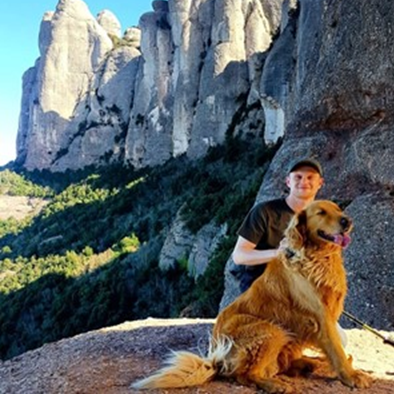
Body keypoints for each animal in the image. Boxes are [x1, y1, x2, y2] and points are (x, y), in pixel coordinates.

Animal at [132, 202, 372, 392]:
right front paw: (351, 376)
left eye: (338, 209)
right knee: (245, 375)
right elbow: (336, 350)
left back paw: (309, 363)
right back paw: (276, 384)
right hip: (271, 329)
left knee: (278, 365)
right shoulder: (320, 317)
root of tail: (216, 358)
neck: (317, 257)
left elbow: (336, 350)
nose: (347, 221)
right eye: (321, 212)